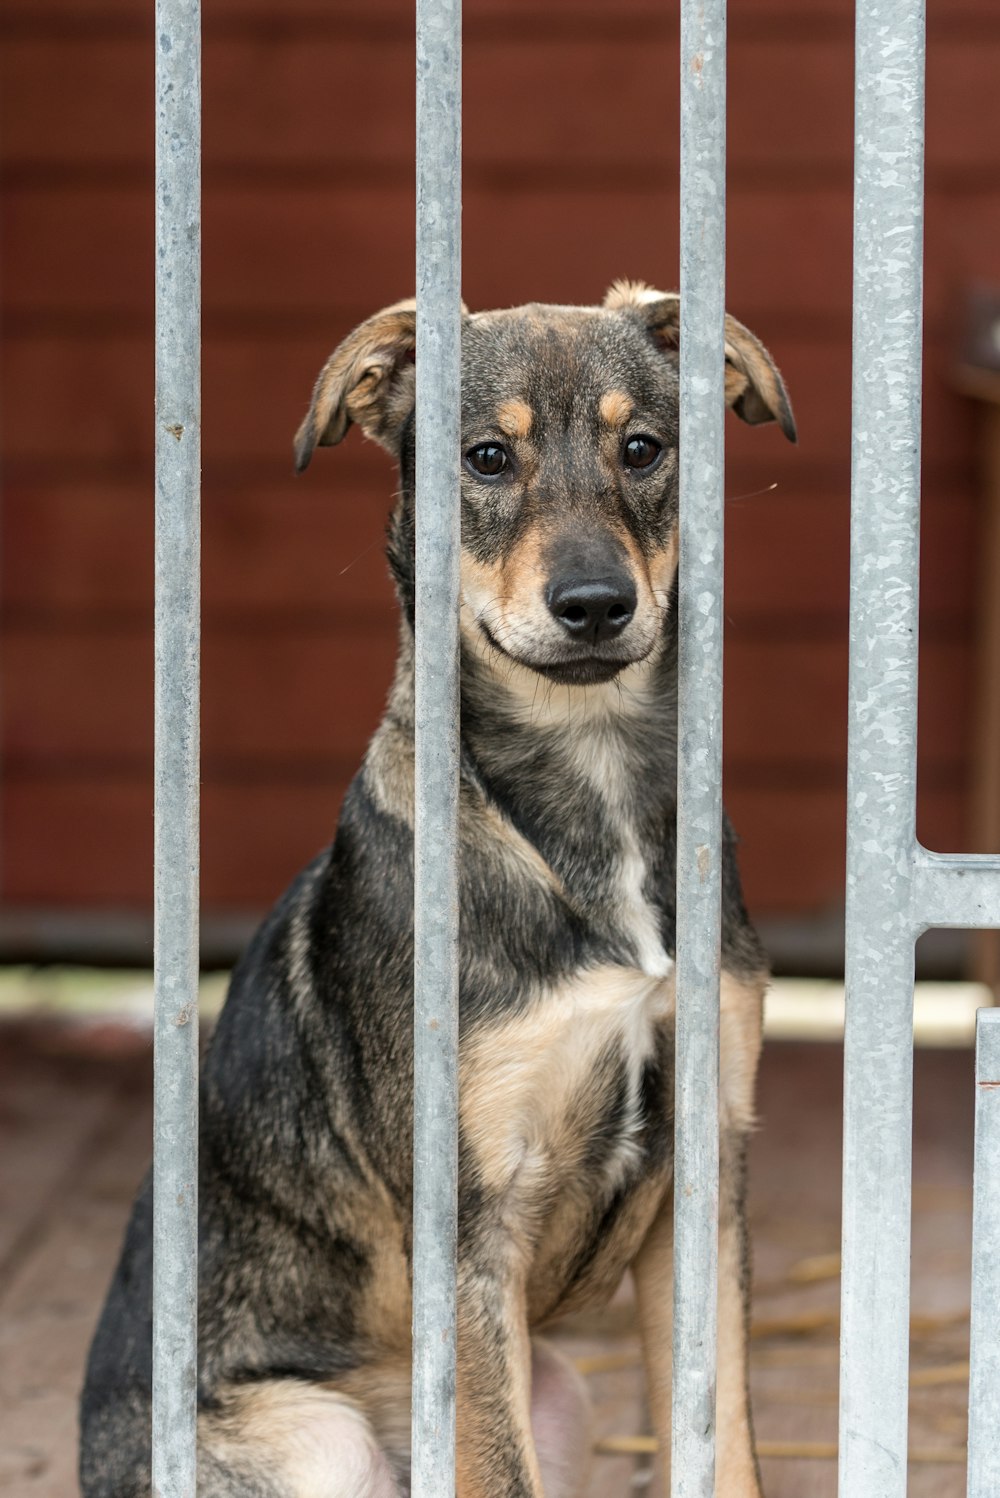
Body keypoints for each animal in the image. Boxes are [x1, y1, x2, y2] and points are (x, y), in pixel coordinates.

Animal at [78, 283, 796, 1498]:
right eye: (486, 457)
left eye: (643, 449)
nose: (595, 604)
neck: (585, 788)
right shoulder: (468, 1223)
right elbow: (498, 1473)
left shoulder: (707, 1175)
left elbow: (725, 1437)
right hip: (319, 1442)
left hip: (564, 1393)